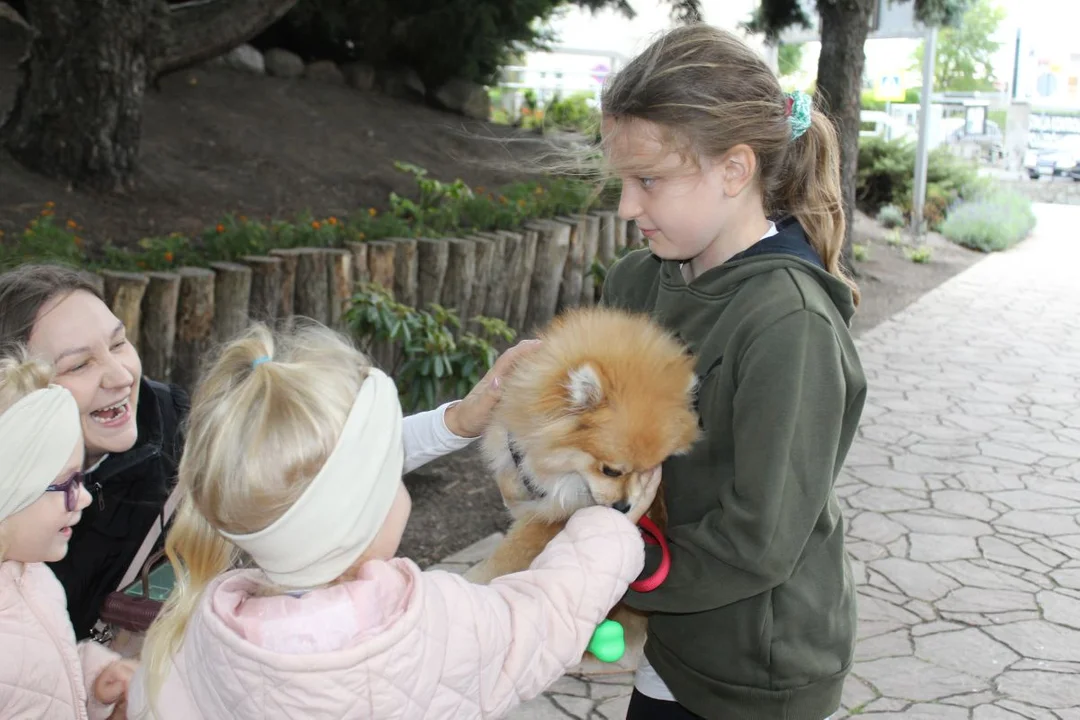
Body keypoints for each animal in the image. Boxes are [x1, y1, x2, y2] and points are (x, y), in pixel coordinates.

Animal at [464, 306, 699, 673]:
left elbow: (504, 558)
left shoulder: (551, 521)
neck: (562, 471)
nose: (623, 507)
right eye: (611, 470)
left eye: (649, 470)